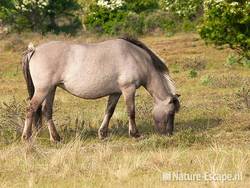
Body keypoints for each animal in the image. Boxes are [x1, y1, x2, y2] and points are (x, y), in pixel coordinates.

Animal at [20, 37, 179, 142]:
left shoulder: (116, 93)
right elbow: (131, 112)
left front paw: (102, 133)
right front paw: (135, 134)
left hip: (51, 90)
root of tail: (34, 50)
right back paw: (26, 137)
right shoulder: (128, 89)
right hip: (43, 90)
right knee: (31, 109)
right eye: (171, 113)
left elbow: (109, 111)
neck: (137, 57)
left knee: (47, 111)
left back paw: (56, 138)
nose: (169, 133)